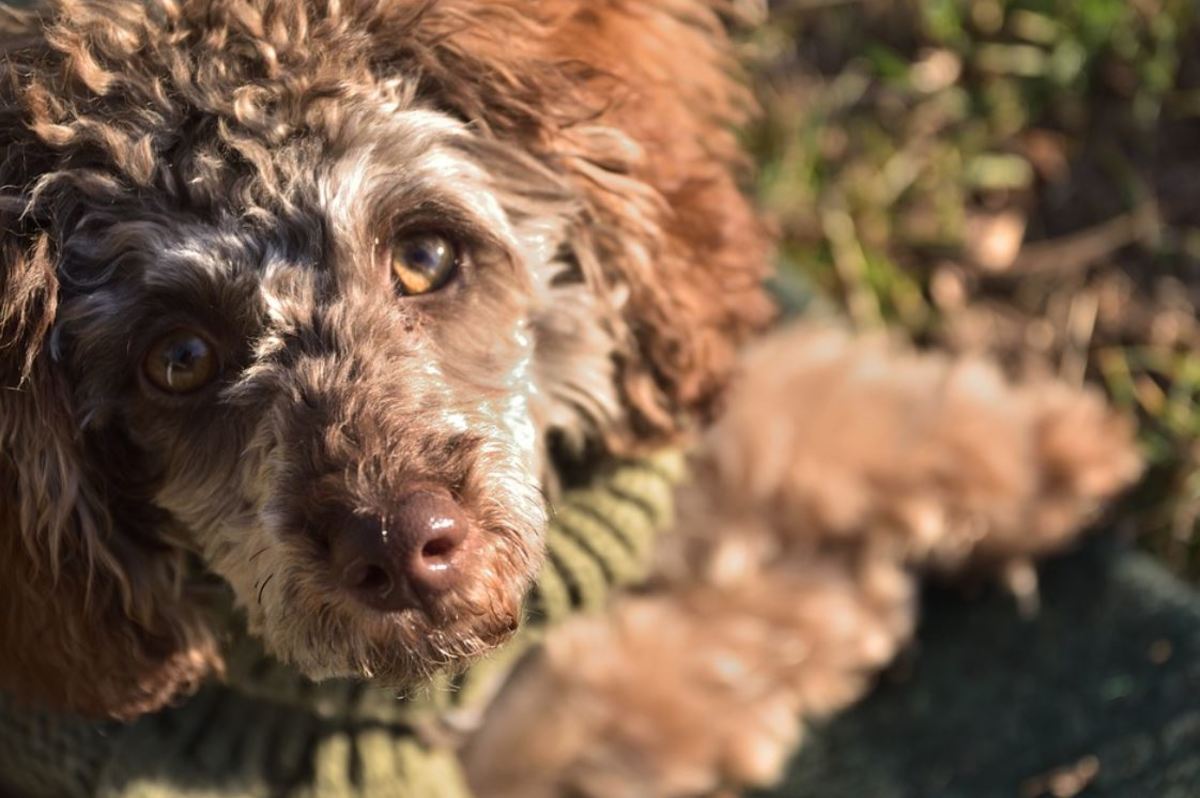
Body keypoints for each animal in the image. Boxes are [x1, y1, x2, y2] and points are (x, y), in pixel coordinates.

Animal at [0, 0, 1137, 792]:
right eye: (179, 359)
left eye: (424, 255)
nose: (395, 545)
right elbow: (626, 684)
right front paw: (822, 607)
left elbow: (790, 412)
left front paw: (1035, 449)